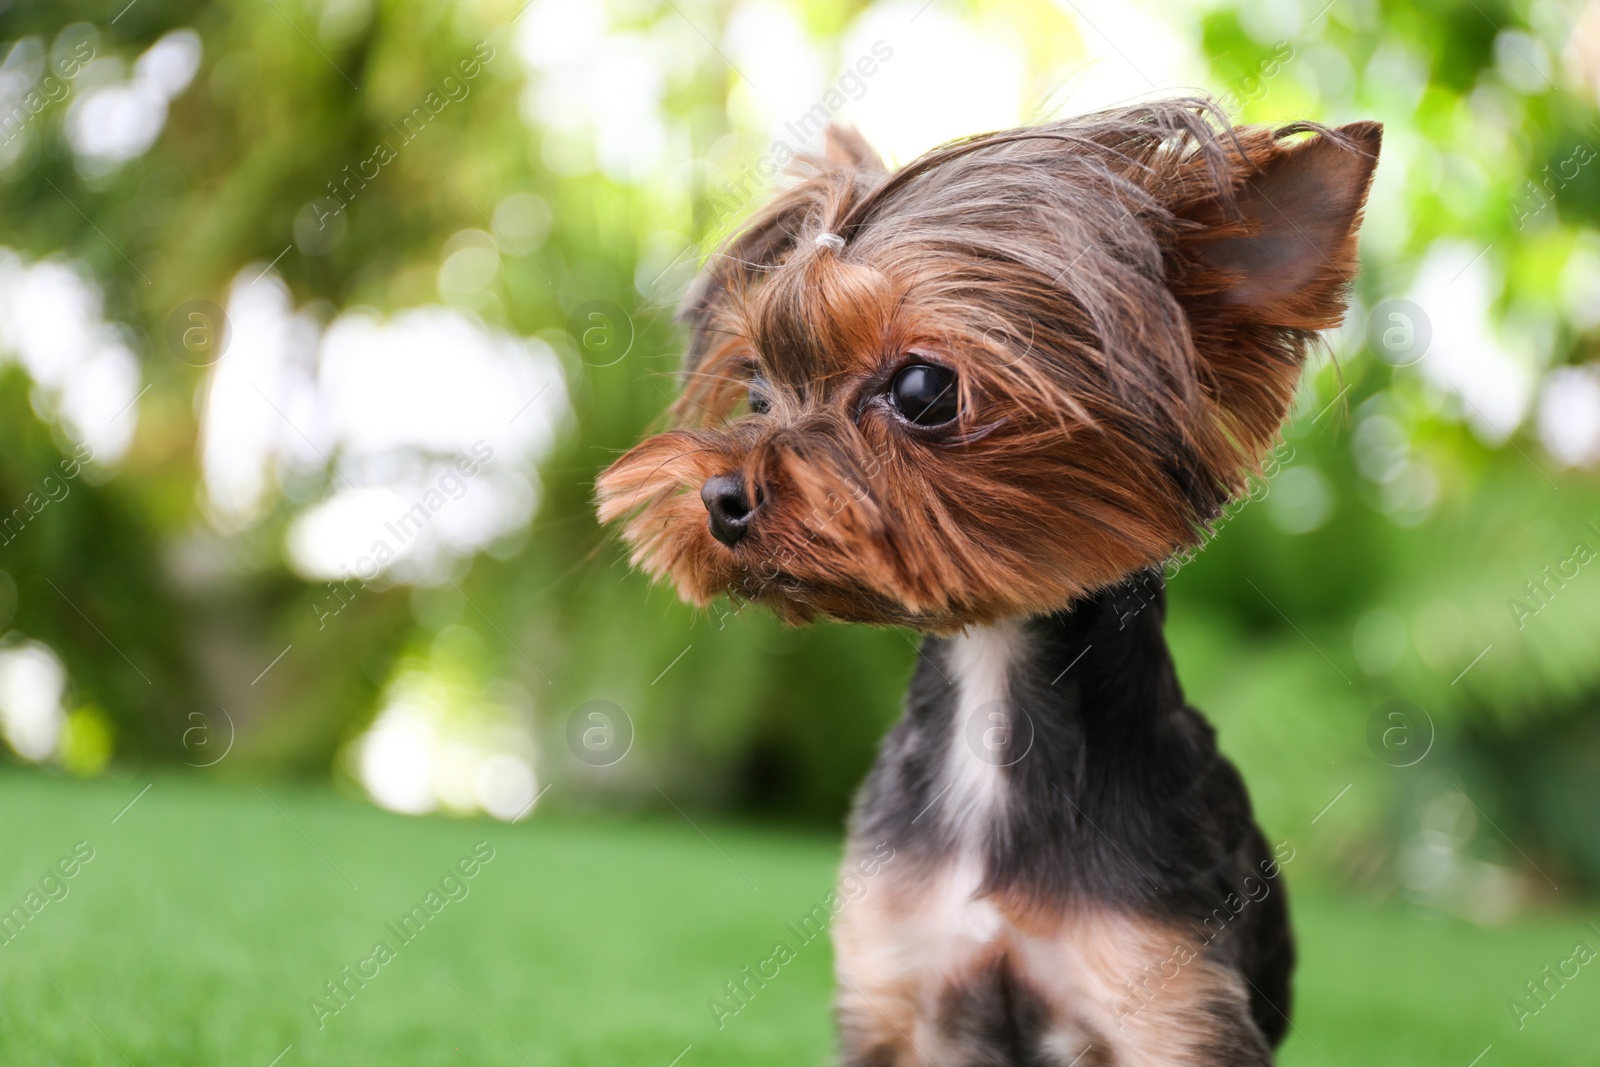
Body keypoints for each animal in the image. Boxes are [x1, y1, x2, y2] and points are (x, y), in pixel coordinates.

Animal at [601, 97, 1376, 1062]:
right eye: (755, 394)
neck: (993, 693)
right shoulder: (892, 986)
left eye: (923, 389)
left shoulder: (1172, 1004)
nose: (717, 497)